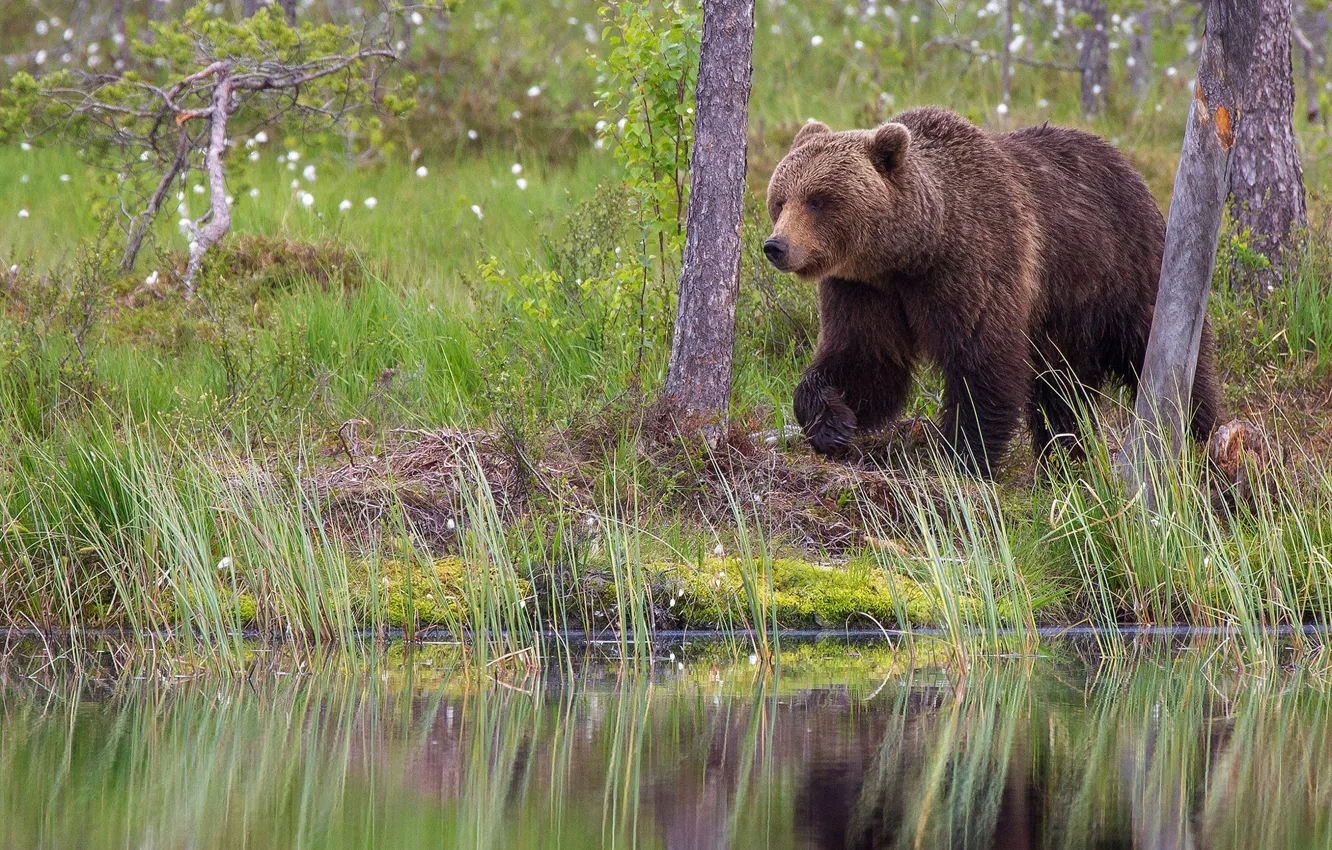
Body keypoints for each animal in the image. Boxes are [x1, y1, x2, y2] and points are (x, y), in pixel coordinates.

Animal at [763, 106, 1222, 474]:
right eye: (780, 199)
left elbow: (982, 362)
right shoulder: (863, 289)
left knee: (1157, 351)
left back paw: (1201, 438)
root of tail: (1127, 166)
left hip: (1121, 270)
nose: (776, 246)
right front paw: (833, 423)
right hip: (1065, 316)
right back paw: (1064, 459)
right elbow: (867, 359)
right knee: (1063, 389)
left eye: (818, 200)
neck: (911, 252)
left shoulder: (976, 262)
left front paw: (961, 456)